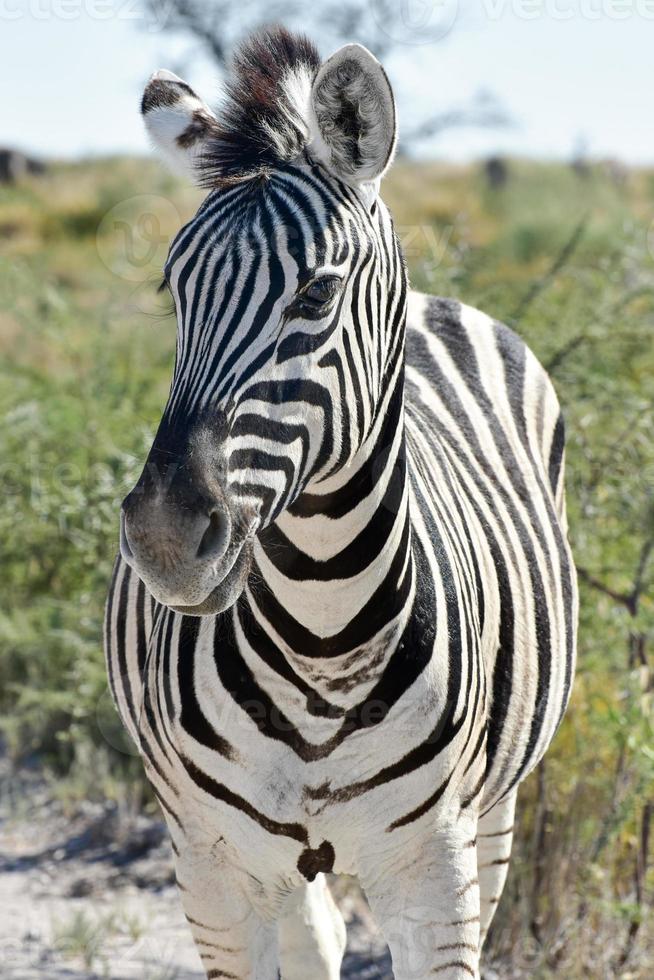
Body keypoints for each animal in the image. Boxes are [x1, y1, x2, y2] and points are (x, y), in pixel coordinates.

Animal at [106, 28, 580, 980]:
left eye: (316, 294)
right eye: (173, 293)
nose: (166, 538)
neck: (320, 632)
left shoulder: (434, 871)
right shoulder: (213, 872)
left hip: (498, 812)